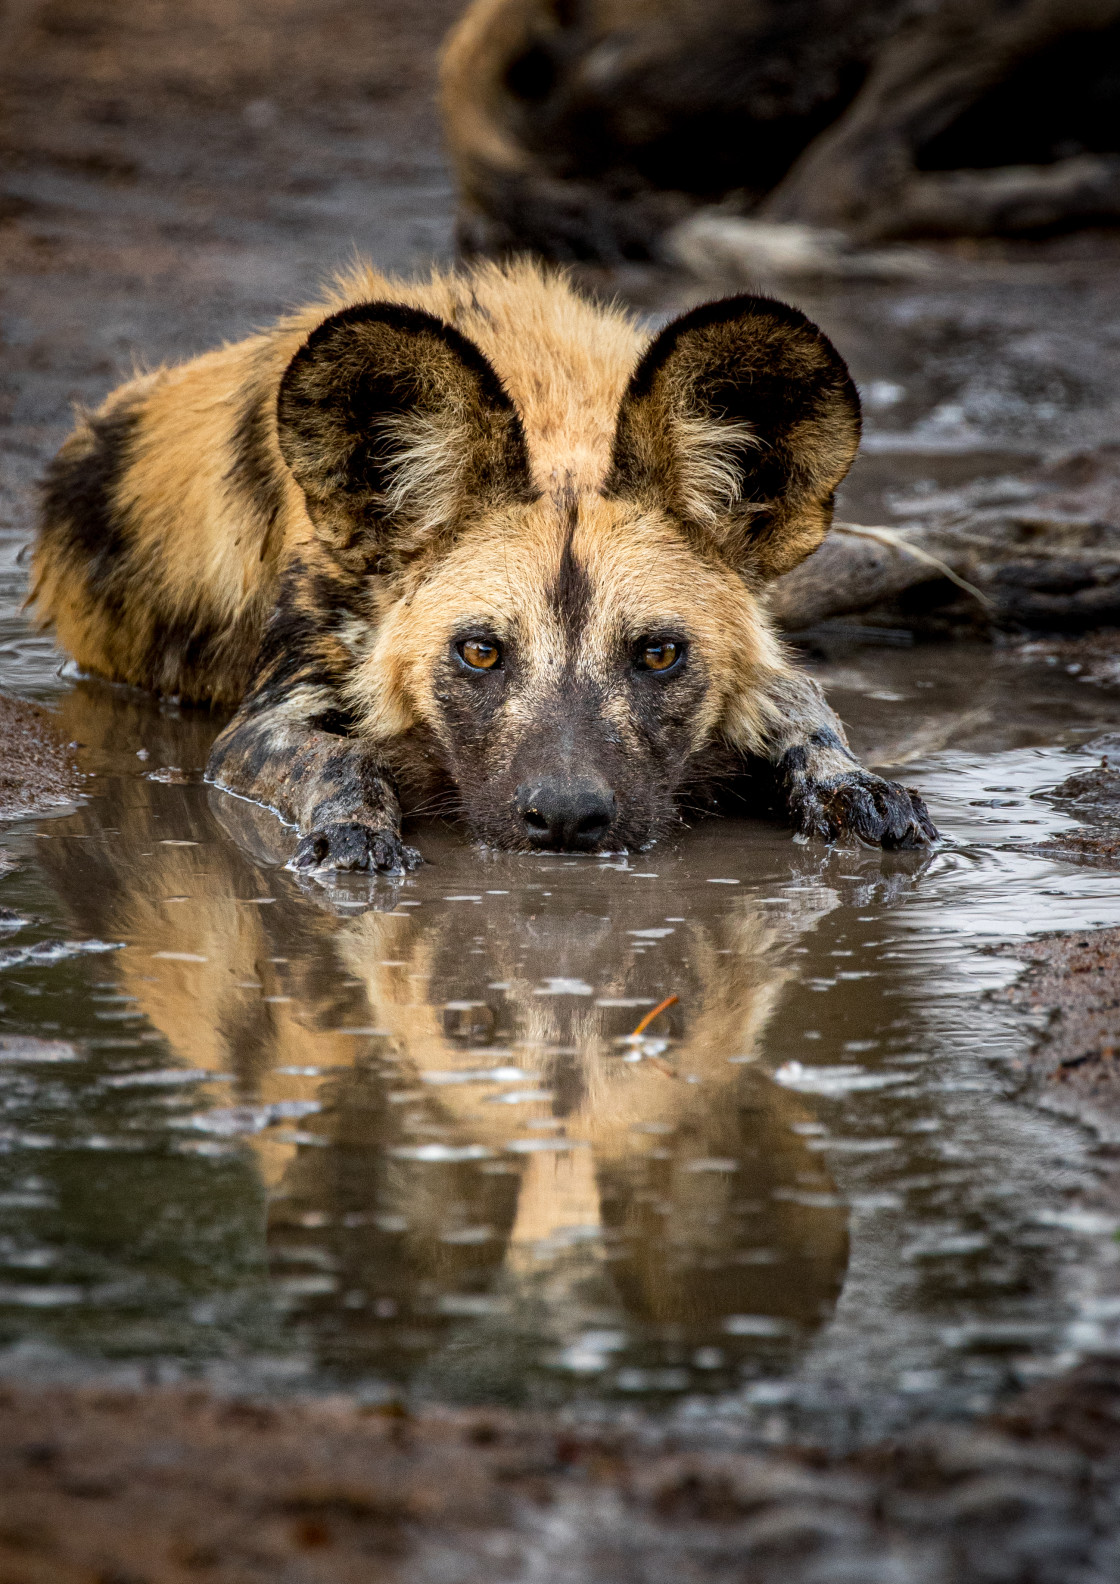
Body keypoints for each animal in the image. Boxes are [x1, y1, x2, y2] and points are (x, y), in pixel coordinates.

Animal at [30, 264, 931, 874]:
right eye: (480, 652)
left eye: (659, 654)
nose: (566, 818)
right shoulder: (261, 727)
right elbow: (342, 757)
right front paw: (358, 833)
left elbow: (806, 711)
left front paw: (855, 787)